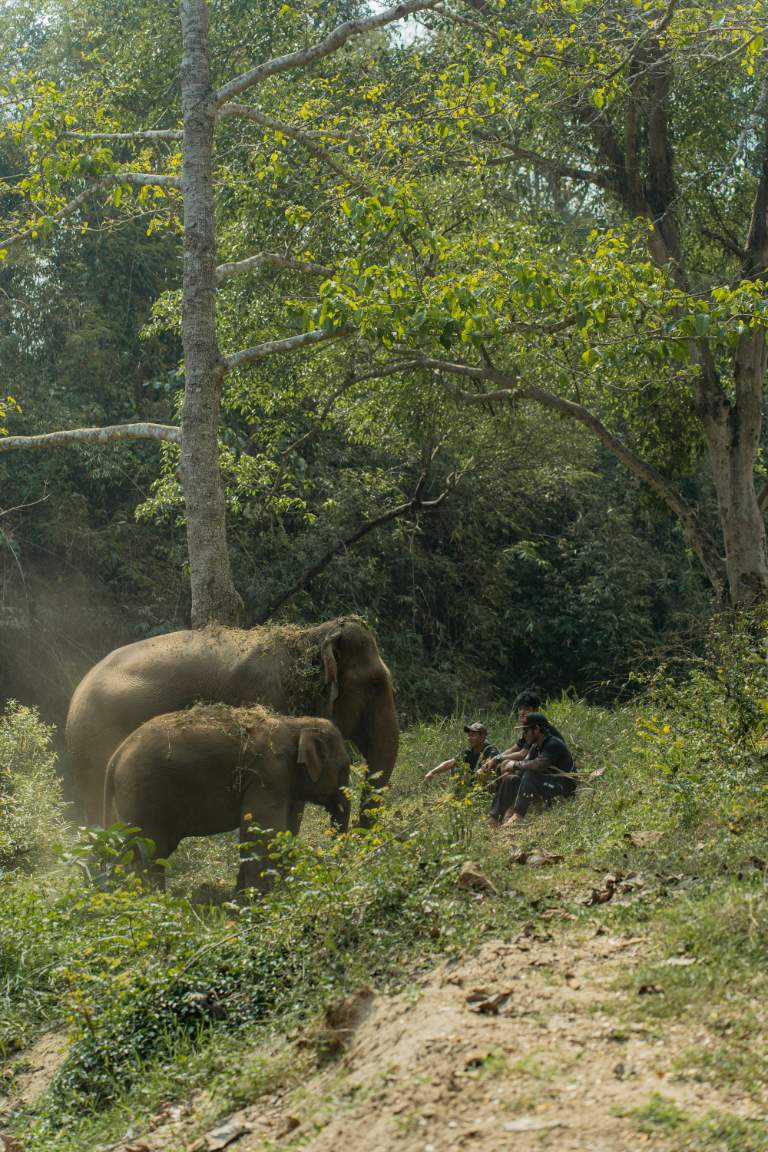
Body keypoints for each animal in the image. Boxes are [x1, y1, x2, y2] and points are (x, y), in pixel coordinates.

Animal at [103, 705, 351, 891]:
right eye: (344, 769)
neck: (296, 724)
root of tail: (115, 757)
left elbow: (287, 828)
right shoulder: (268, 774)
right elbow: (262, 829)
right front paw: (259, 897)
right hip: (142, 794)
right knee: (150, 853)